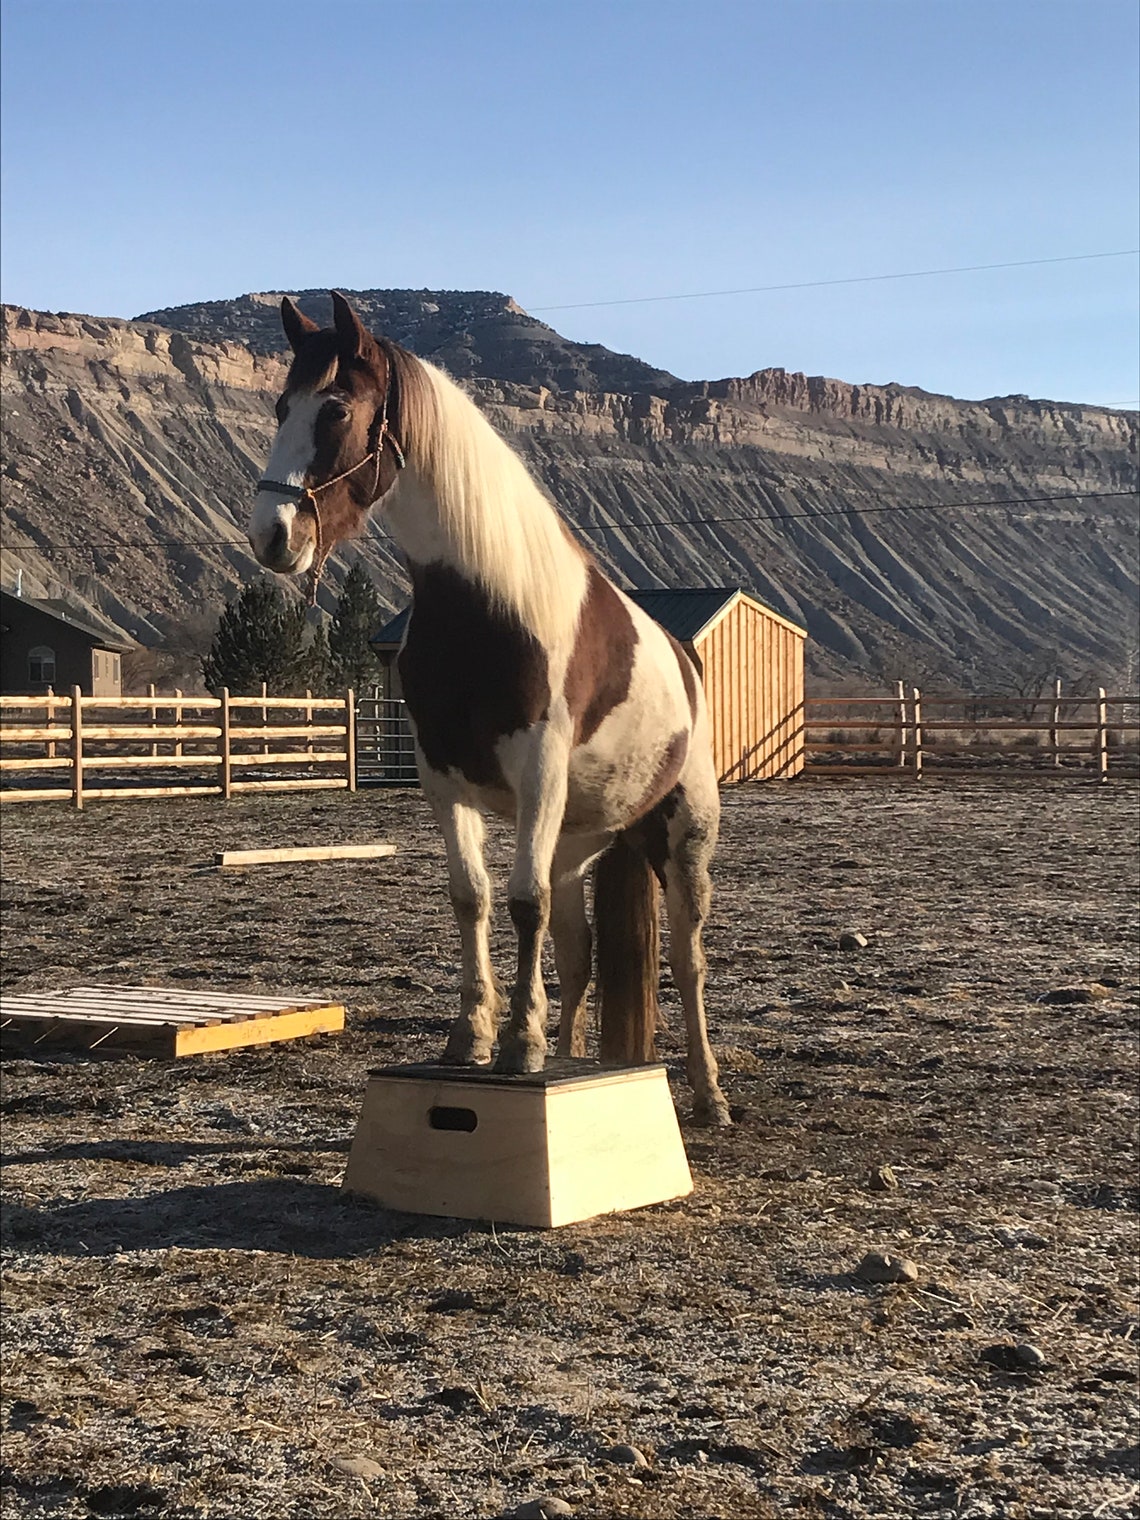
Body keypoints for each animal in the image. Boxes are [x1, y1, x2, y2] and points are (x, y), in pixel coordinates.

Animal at [248, 292, 730, 1125]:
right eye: (282, 406)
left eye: (335, 410)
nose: (273, 536)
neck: (490, 606)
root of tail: (685, 659)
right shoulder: (444, 780)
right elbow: (472, 898)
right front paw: (474, 1037)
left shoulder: (536, 773)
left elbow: (520, 903)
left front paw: (521, 1046)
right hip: (578, 844)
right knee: (578, 954)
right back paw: (576, 1054)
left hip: (683, 836)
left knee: (688, 959)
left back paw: (707, 1092)